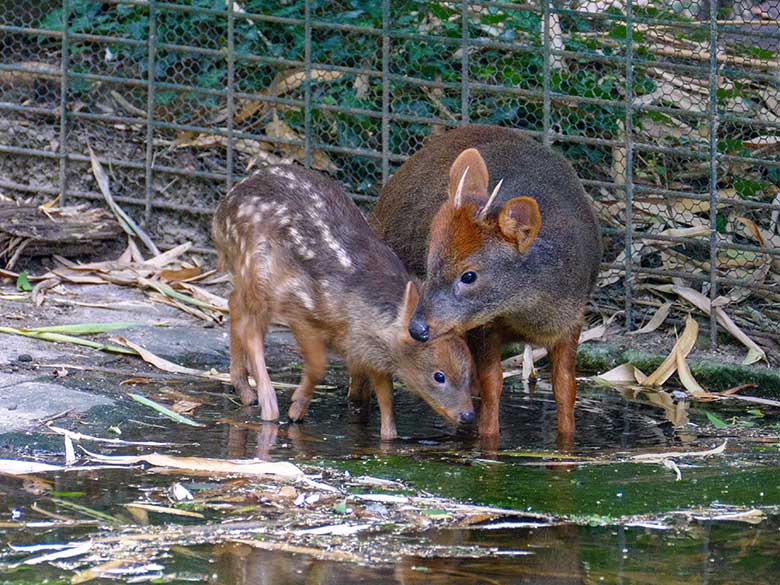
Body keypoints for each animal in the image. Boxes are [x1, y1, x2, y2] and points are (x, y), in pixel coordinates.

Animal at [210, 164, 476, 438]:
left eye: (470, 372)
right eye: (438, 376)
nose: (468, 415)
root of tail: (221, 211)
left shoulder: (370, 350)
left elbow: (386, 396)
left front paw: (388, 436)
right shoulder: (300, 307)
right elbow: (318, 364)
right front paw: (296, 409)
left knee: (234, 304)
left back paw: (245, 390)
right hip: (257, 269)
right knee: (249, 326)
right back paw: (268, 405)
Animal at [372, 124, 604, 448]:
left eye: (469, 275)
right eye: (429, 263)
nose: (417, 328)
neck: (528, 315)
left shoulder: (571, 322)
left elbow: (565, 388)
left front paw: (567, 443)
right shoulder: (483, 328)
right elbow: (492, 385)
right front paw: (488, 444)